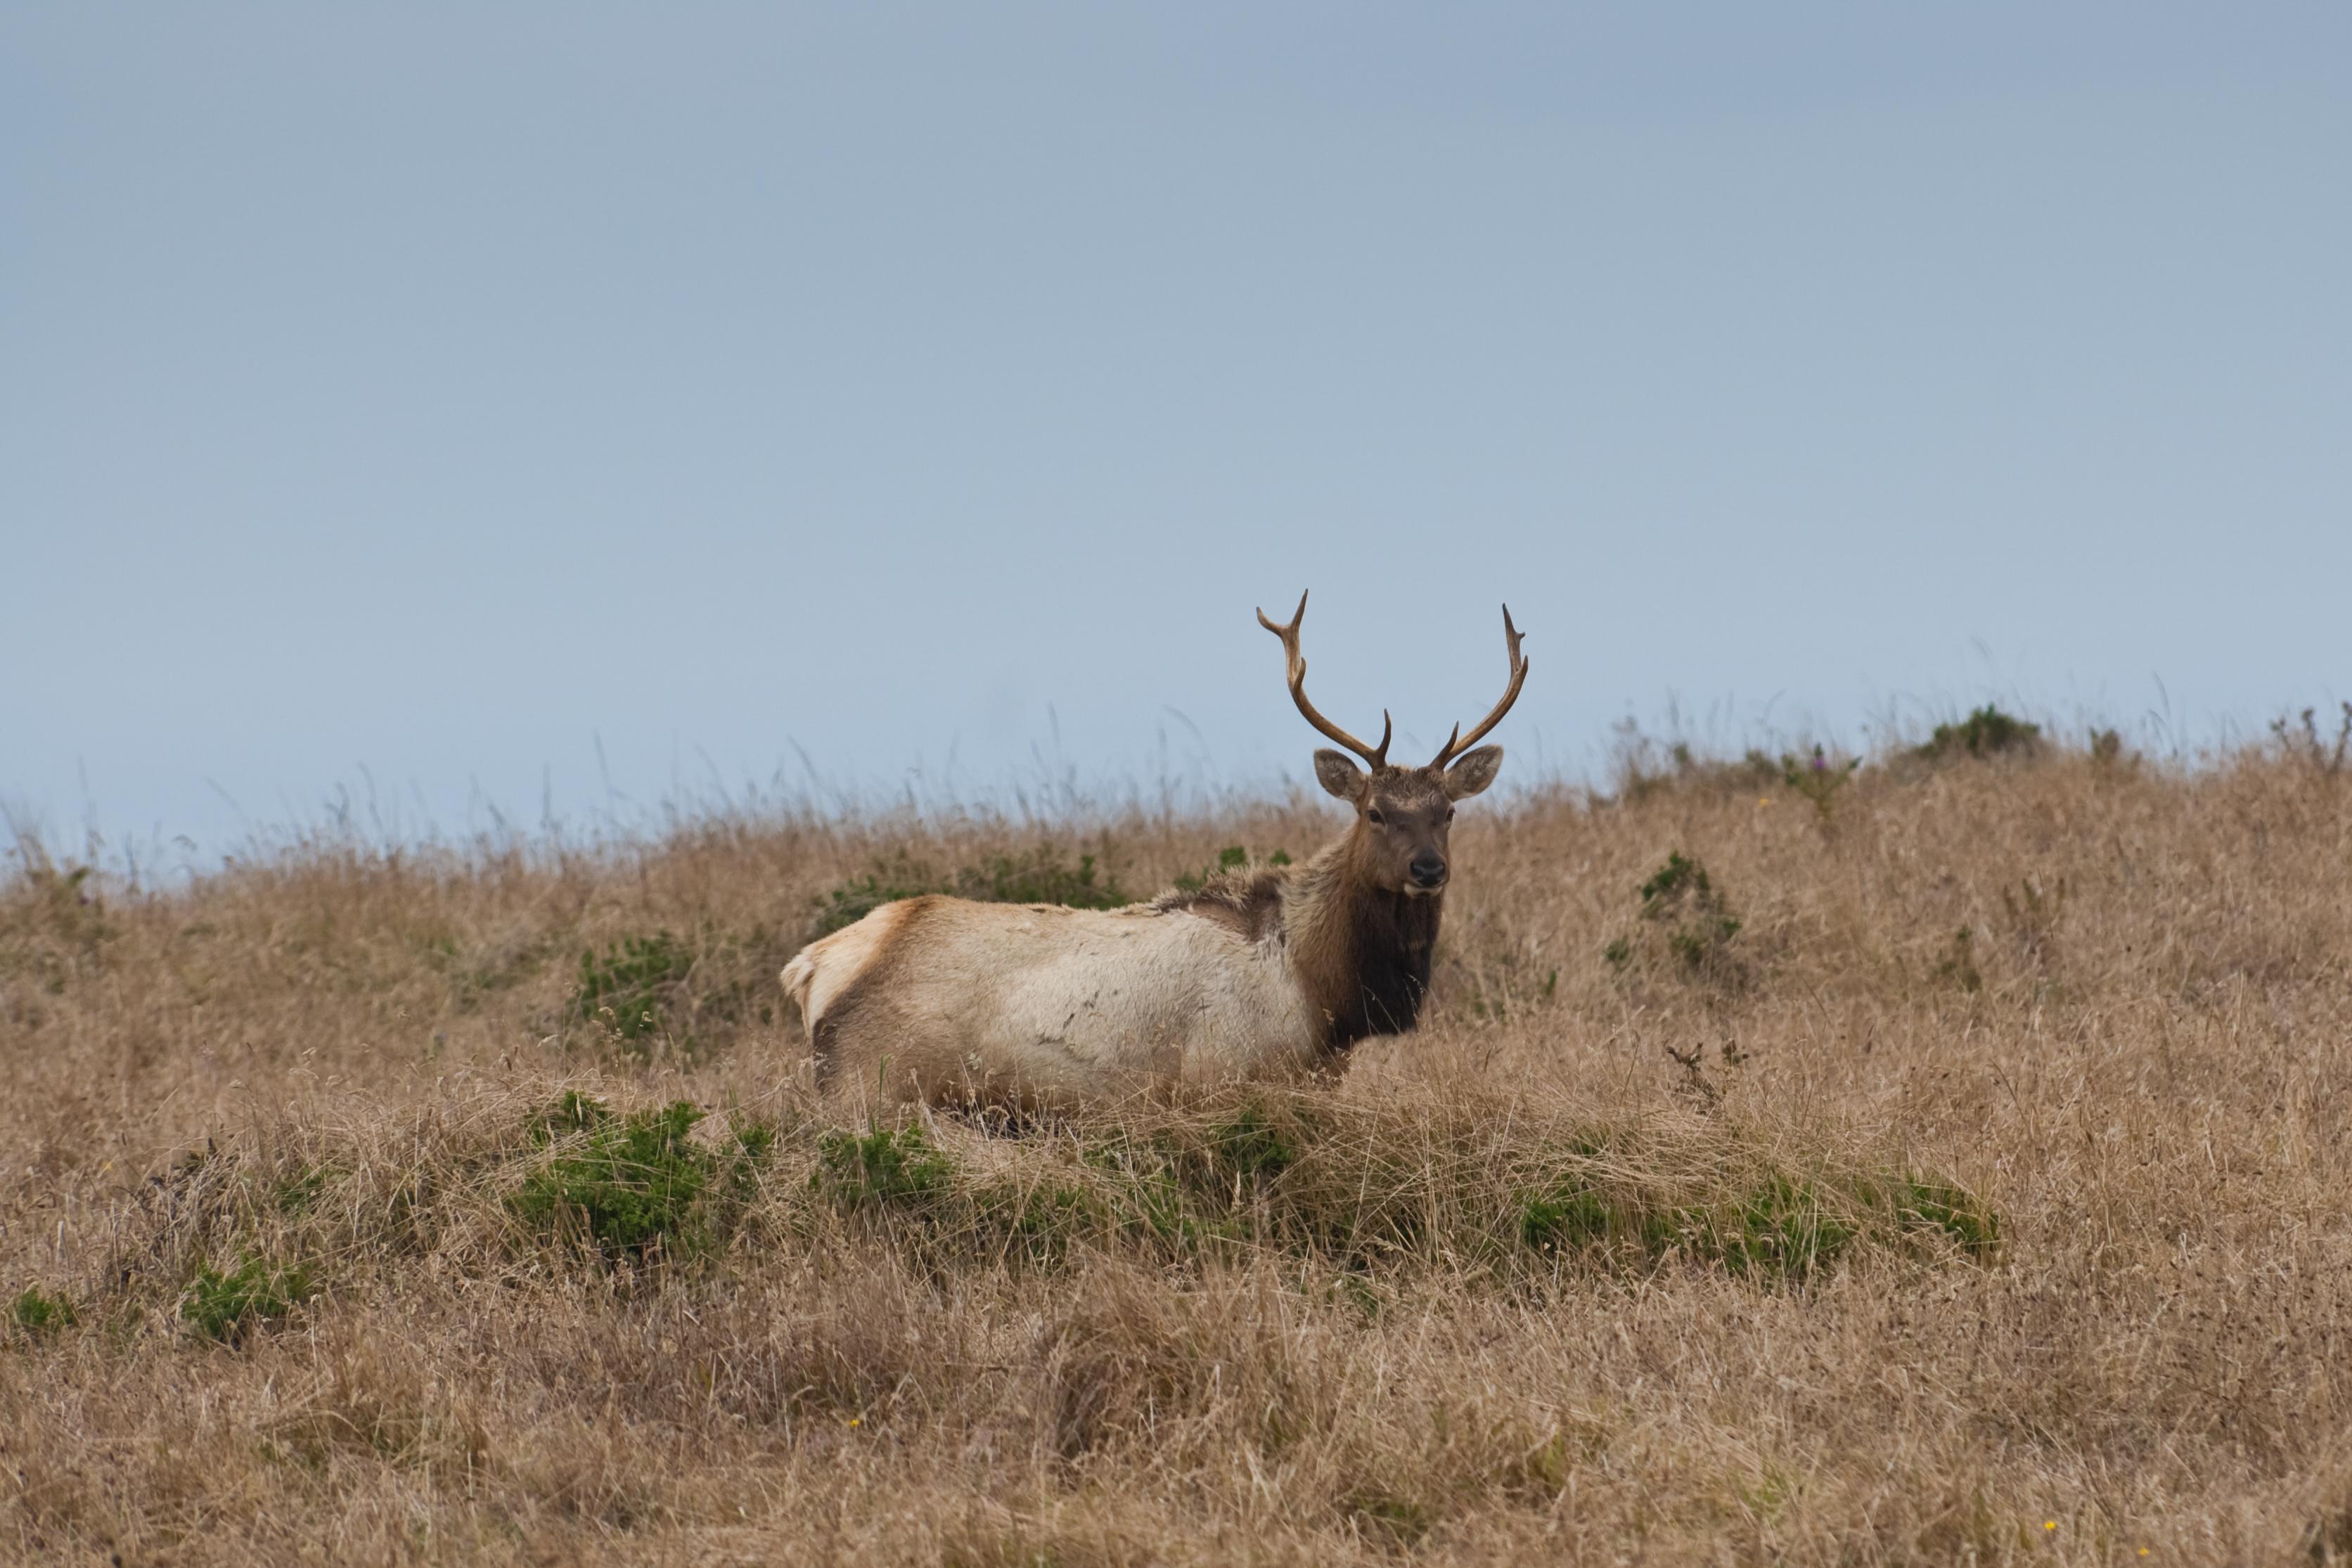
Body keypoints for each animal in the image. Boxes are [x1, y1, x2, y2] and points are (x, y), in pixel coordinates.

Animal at [780, 594, 1533, 1110]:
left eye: (1447, 813)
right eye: (1375, 813)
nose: (1428, 869)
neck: (1324, 998)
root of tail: (811, 965)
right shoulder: (1223, 1079)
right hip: (870, 1087)